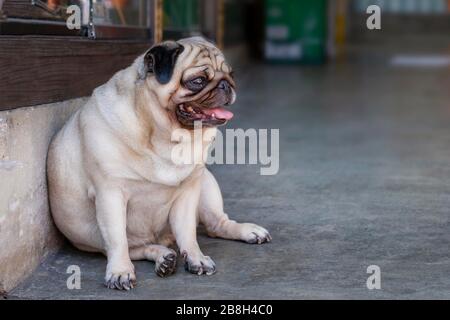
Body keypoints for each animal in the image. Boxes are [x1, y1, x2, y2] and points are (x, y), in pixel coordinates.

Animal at [46, 37, 270, 290]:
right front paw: (120, 271)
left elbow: (188, 233)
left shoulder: (189, 191)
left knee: (216, 225)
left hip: (206, 184)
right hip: (98, 239)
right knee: (134, 247)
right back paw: (163, 257)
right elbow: (117, 240)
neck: (165, 136)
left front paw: (196, 258)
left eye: (231, 75)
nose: (226, 85)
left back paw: (246, 231)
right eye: (198, 81)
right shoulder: (110, 195)